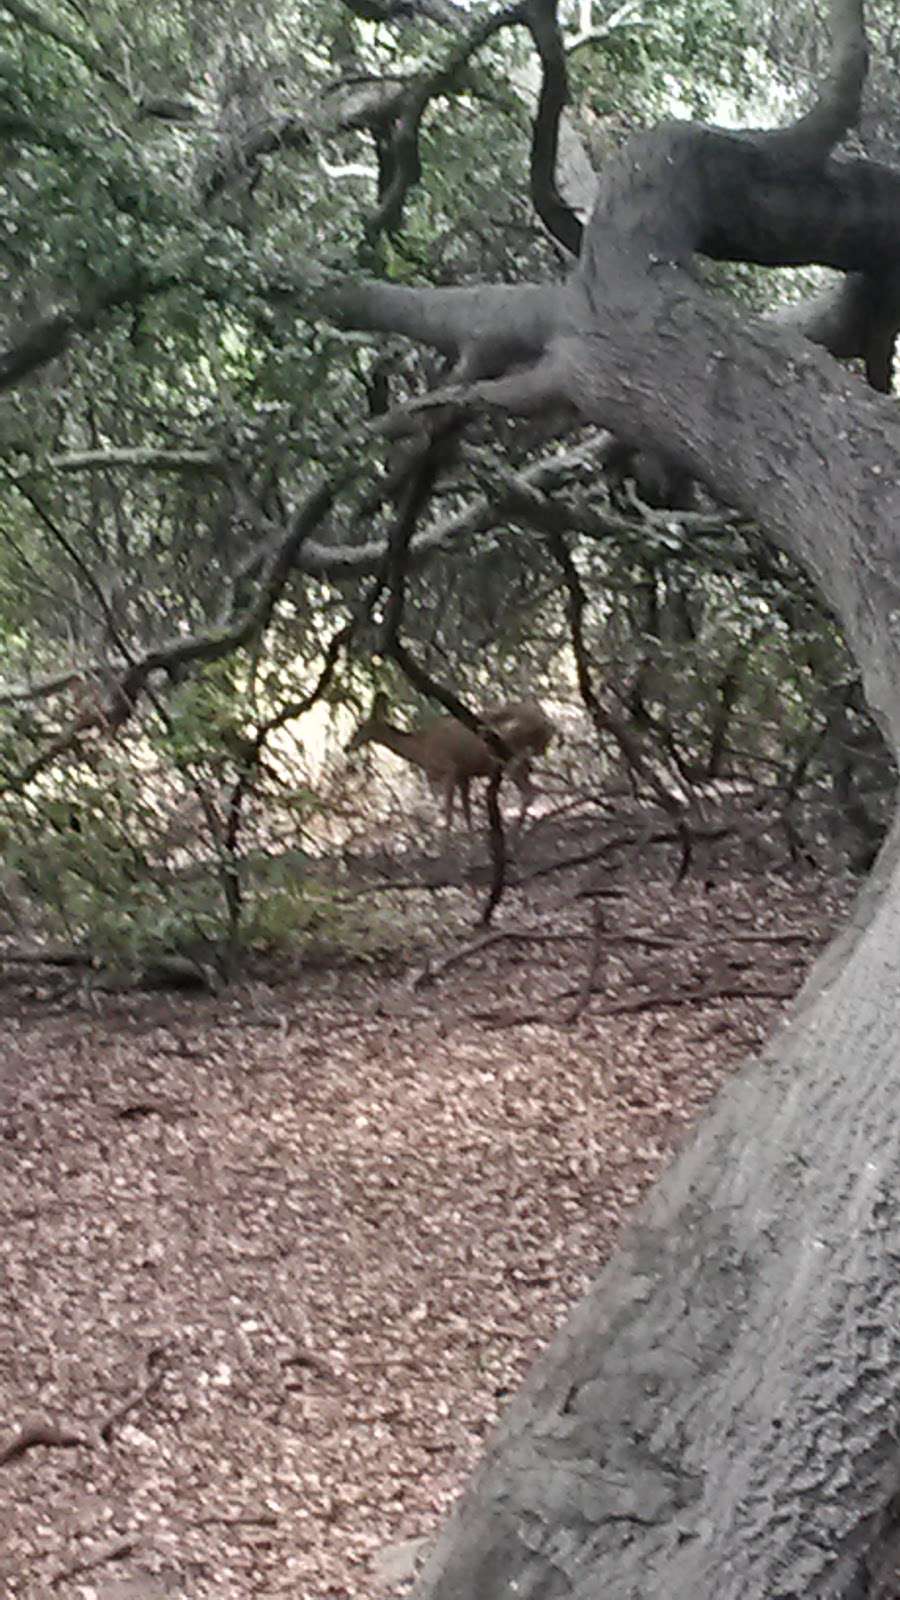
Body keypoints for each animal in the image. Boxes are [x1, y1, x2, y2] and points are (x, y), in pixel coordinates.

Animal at [344, 691, 550, 838]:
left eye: (360, 727)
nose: (347, 747)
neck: (420, 747)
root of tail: (547, 723)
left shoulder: (449, 770)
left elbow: (448, 811)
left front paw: (446, 843)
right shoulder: (464, 775)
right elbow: (466, 810)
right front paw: (471, 838)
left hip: (512, 755)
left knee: (528, 792)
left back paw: (518, 832)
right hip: (520, 760)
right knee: (530, 790)